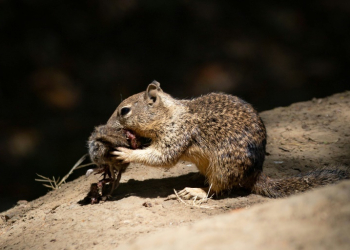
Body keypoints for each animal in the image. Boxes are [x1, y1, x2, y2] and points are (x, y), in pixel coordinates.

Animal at [94, 81, 348, 198]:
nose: (105, 125)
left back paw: (195, 191)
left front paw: (126, 153)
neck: (170, 114)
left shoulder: (177, 133)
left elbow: (162, 156)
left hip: (223, 166)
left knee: (217, 189)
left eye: (124, 111)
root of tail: (254, 174)